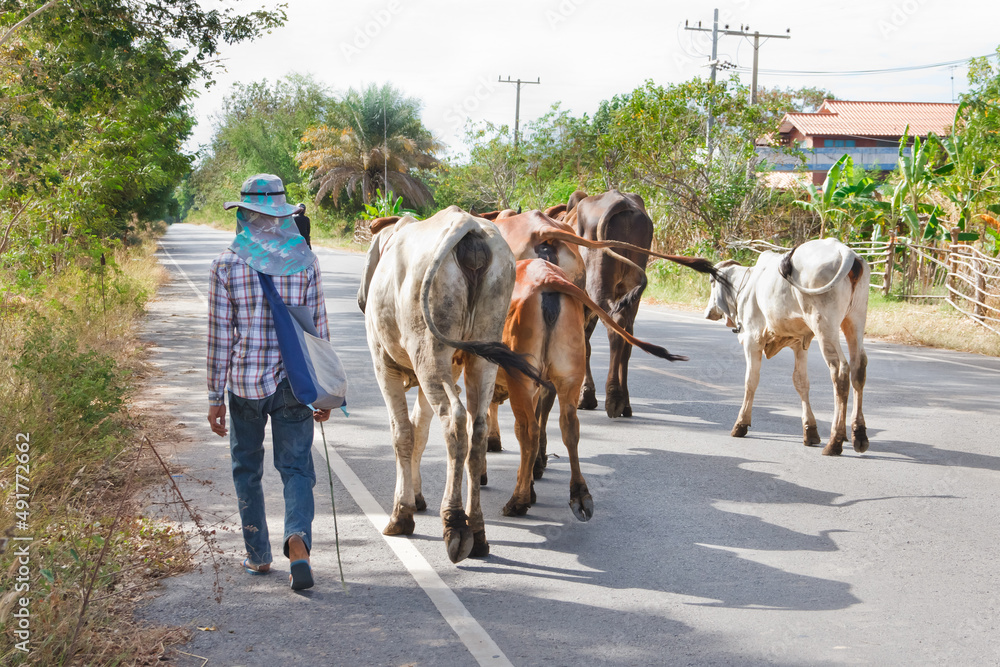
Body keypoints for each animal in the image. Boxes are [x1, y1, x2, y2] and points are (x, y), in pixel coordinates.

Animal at [360, 206, 548, 560]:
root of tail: (467, 223)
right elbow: (419, 432)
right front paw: (416, 498)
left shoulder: (383, 365)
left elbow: (403, 434)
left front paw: (402, 513)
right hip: (482, 352)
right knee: (477, 429)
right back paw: (477, 530)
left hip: (429, 354)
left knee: (454, 421)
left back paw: (456, 524)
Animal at [704, 241, 868, 460]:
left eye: (711, 282)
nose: (708, 313)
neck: (746, 286)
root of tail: (845, 251)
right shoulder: (800, 344)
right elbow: (801, 382)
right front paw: (810, 431)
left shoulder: (752, 339)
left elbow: (750, 381)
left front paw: (741, 424)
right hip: (855, 319)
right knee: (858, 368)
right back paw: (859, 436)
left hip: (825, 327)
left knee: (840, 370)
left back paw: (835, 441)